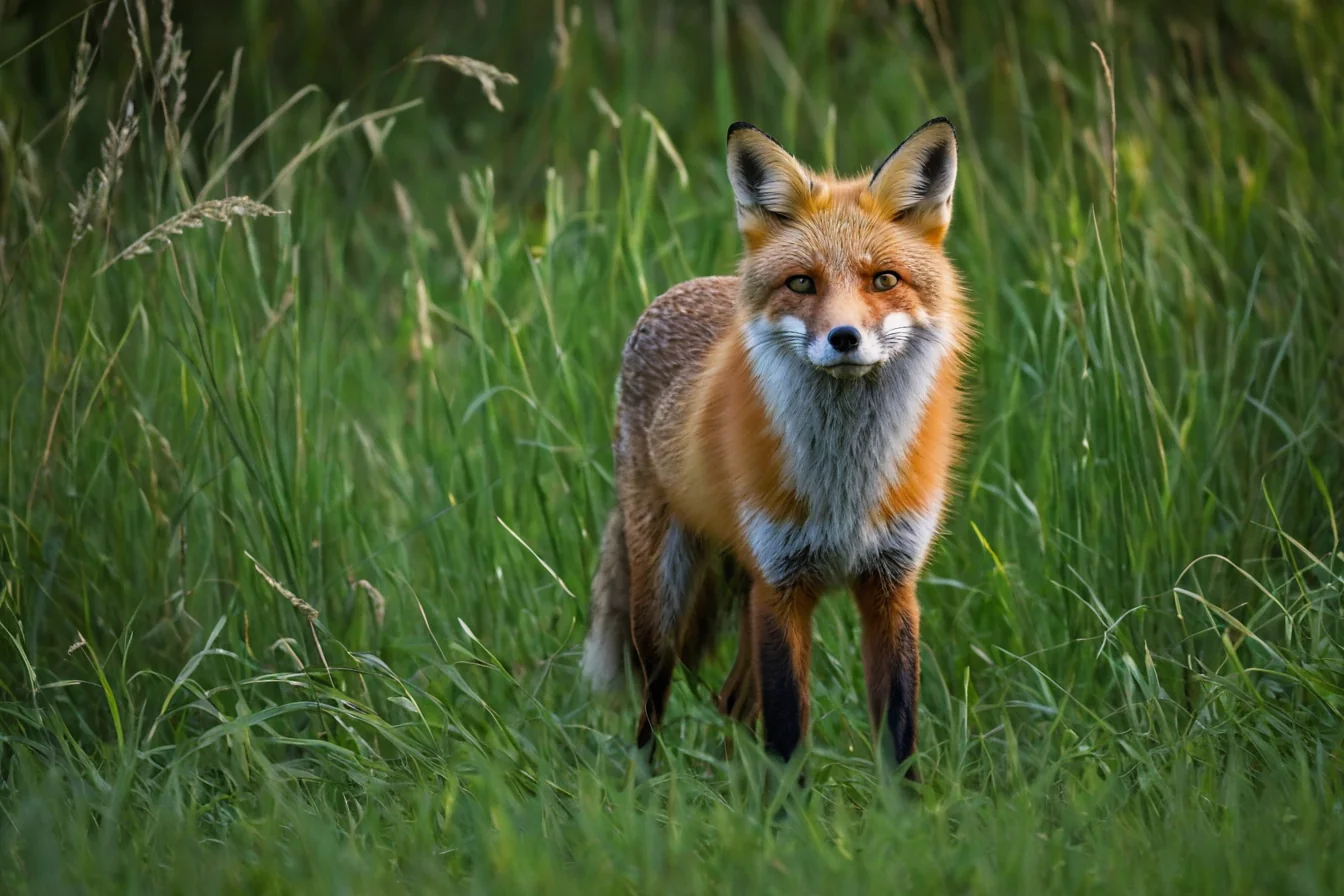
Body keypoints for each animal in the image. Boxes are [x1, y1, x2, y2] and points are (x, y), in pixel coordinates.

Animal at [581, 117, 970, 780]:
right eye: (802, 283)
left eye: (884, 280)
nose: (845, 338)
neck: (845, 485)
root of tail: (684, 288)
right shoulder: (781, 583)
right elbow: (788, 735)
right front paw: (786, 809)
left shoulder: (891, 584)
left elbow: (897, 733)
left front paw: (906, 807)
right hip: (663, 595)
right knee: (654, 699)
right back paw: (646, 787)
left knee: (732, 699)